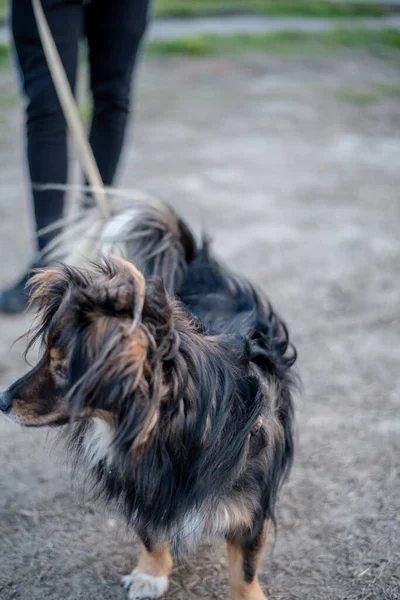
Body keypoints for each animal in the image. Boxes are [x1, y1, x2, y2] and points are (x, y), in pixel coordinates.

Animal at [0, 204, 296, 596]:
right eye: (44, 357)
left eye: (61, 369)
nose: (1, 399)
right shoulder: (142, 488)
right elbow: (151, 535)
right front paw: (150, 575)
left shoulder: (251, 504)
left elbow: (244, 568)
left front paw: (249, 596)